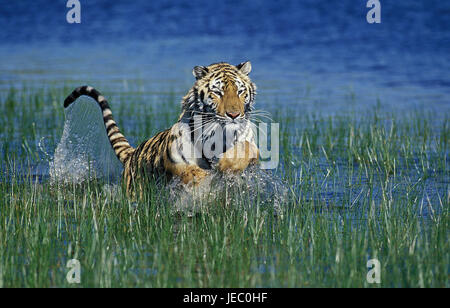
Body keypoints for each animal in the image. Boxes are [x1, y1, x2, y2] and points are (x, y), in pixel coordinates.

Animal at [64, 61, 258, 194]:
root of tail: (131, 154)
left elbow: (248, 148)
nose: (234, 115)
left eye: (240, 91)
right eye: (218, 92)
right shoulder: (178, 162)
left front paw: (226, 166)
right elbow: (194, 173)